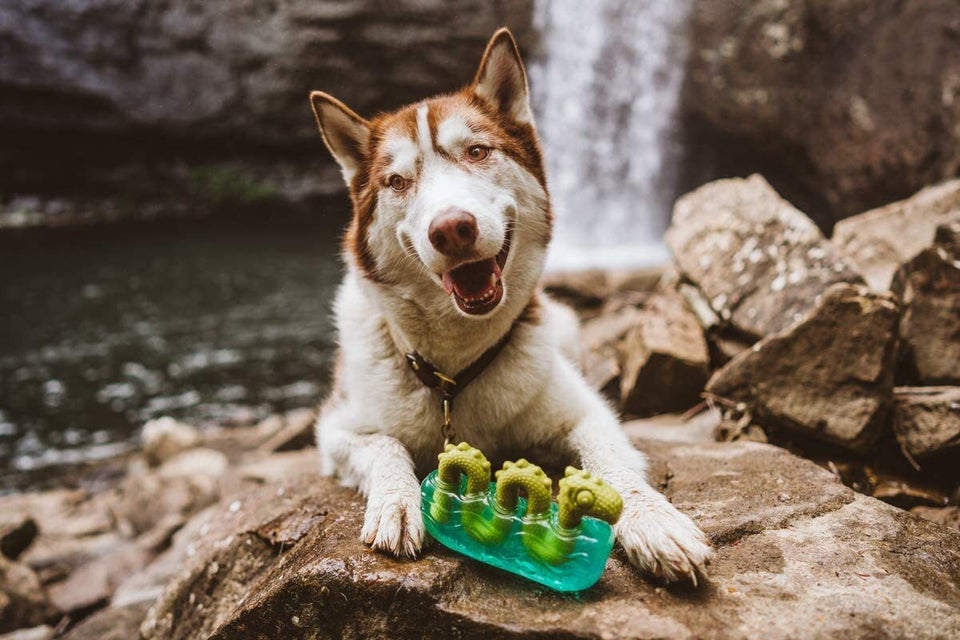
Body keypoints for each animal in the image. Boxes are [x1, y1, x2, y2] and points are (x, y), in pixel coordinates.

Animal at [310, 27, 712, 584]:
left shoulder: (586, 414)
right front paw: (396, 501)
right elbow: (384, 446)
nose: (451, 228)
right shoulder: (334, 429)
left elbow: (613, 466)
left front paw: (655, 521)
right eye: (397, 181)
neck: (455, 369)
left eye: (478, 151)